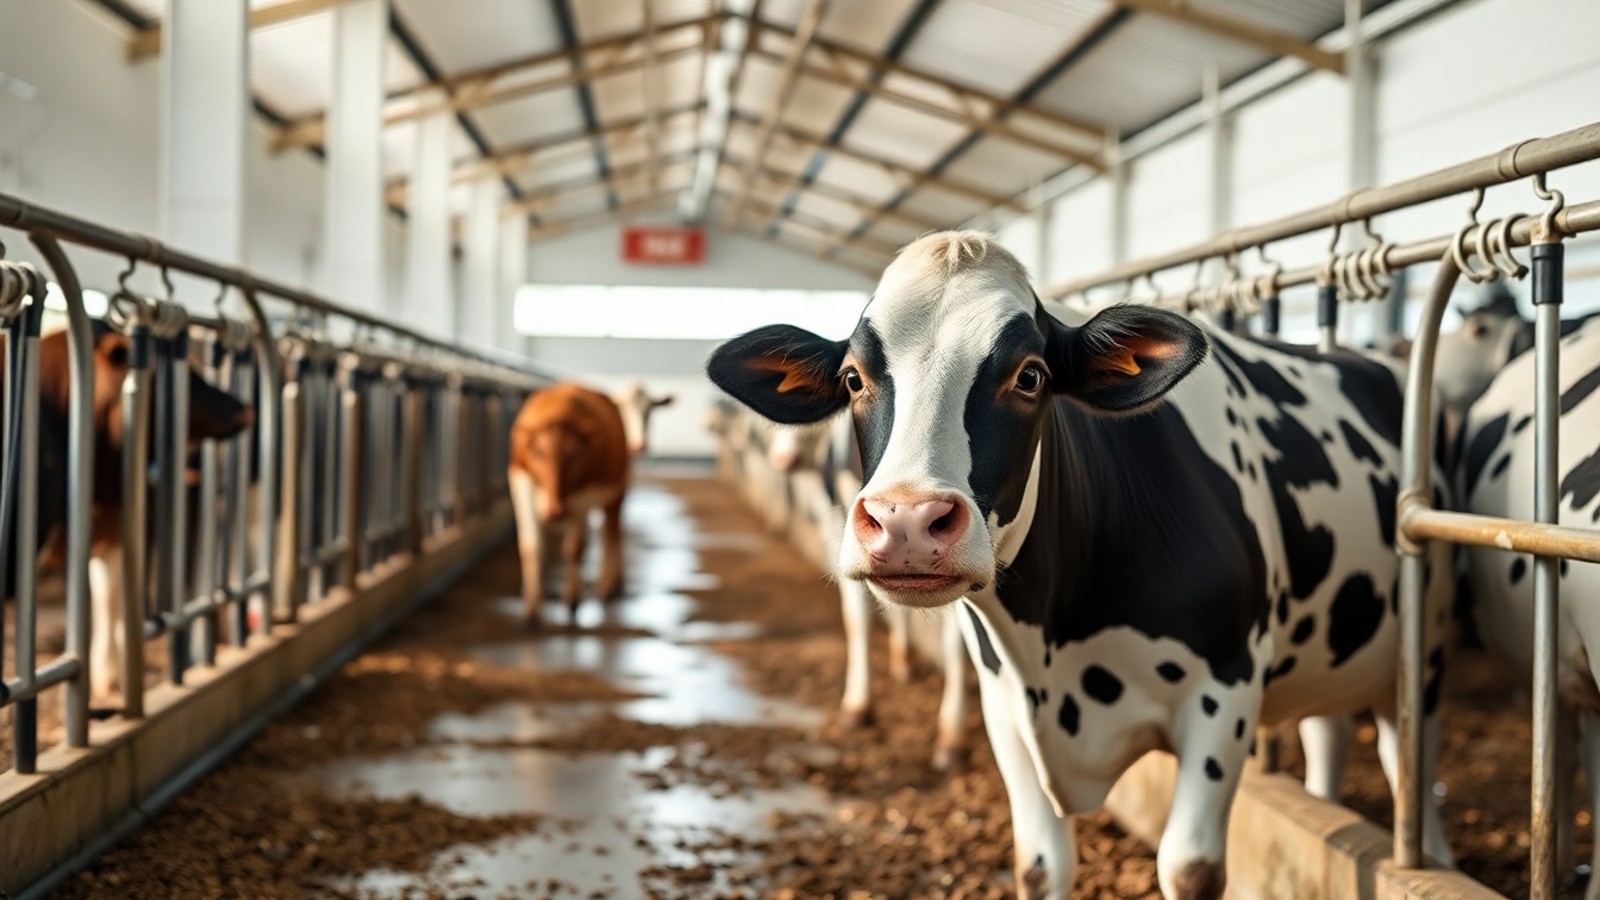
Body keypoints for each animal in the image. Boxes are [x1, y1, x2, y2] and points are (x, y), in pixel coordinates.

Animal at [507, 382, 631, 623]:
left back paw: (609, 584)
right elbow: (531, 546)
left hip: (618, 488)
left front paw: (572, 600)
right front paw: (531, 608)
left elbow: (574, 548)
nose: (555, 511)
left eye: (575, 454)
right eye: (538, 452)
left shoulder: (583, 495)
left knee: (612, 531)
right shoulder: (521, 482)